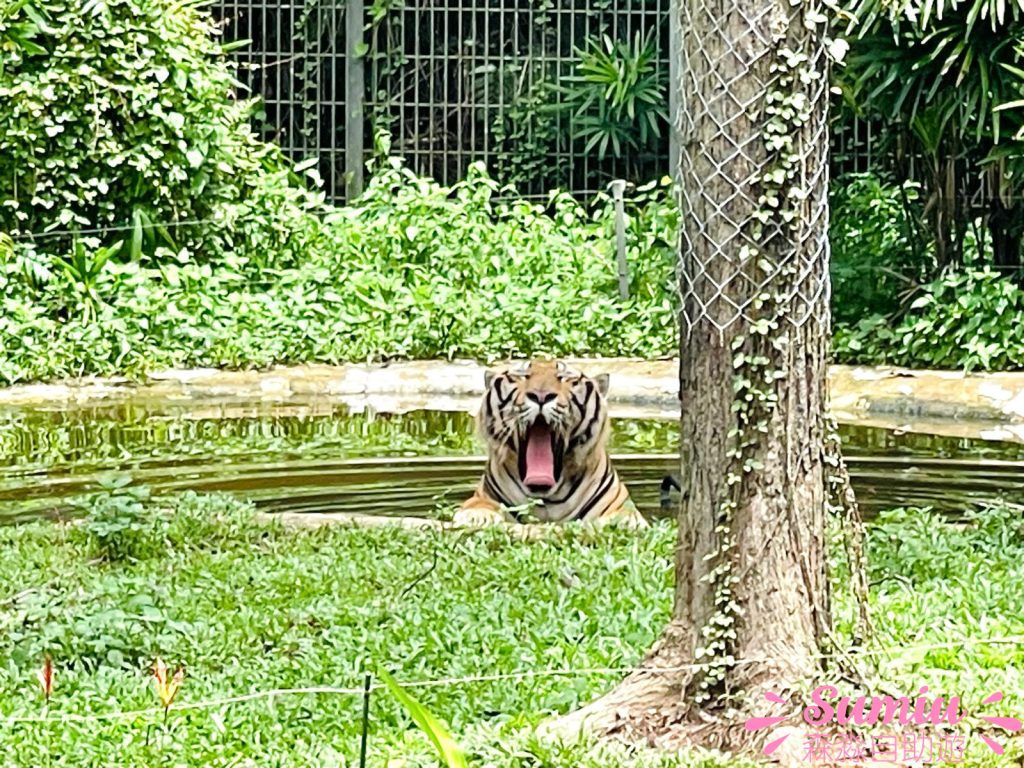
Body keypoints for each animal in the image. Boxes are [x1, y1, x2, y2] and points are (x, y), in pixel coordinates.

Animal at [454, 359, 647, 528]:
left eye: (564, 378)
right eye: (523, 376)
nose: (541, 395)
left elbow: (625, 514)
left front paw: (625, 522)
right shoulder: (484, 495)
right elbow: (478, 503)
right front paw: (476, 516)